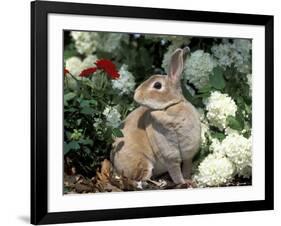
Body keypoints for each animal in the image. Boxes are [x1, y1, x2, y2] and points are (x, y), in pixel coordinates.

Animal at [109, 48, 199, 185]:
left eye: (157, 85)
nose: (136, 94)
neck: (170, 107)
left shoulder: (188, 153)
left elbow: (186, 167)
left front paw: (188, 179)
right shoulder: (169, 153)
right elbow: (175, 172)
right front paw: (183, 182)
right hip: (142, 162)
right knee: (143, 179)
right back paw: (160, 183)